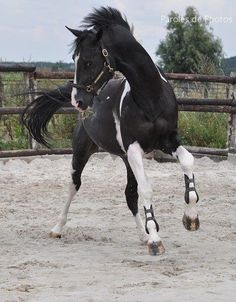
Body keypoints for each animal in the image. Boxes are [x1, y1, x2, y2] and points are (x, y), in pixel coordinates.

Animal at [22, 7, 199, 255]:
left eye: (87, 62)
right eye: (74, 60)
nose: (77, 100)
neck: (151, 98)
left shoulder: (168, 141)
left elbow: (188, 162)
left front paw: (190, 219)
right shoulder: (134, 148)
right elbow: (146, 189)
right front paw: (156, 240)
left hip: (126, 160)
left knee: (130, 195)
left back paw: (143, 235)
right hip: (83, 152)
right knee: (74, 186)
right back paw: (57, 228)